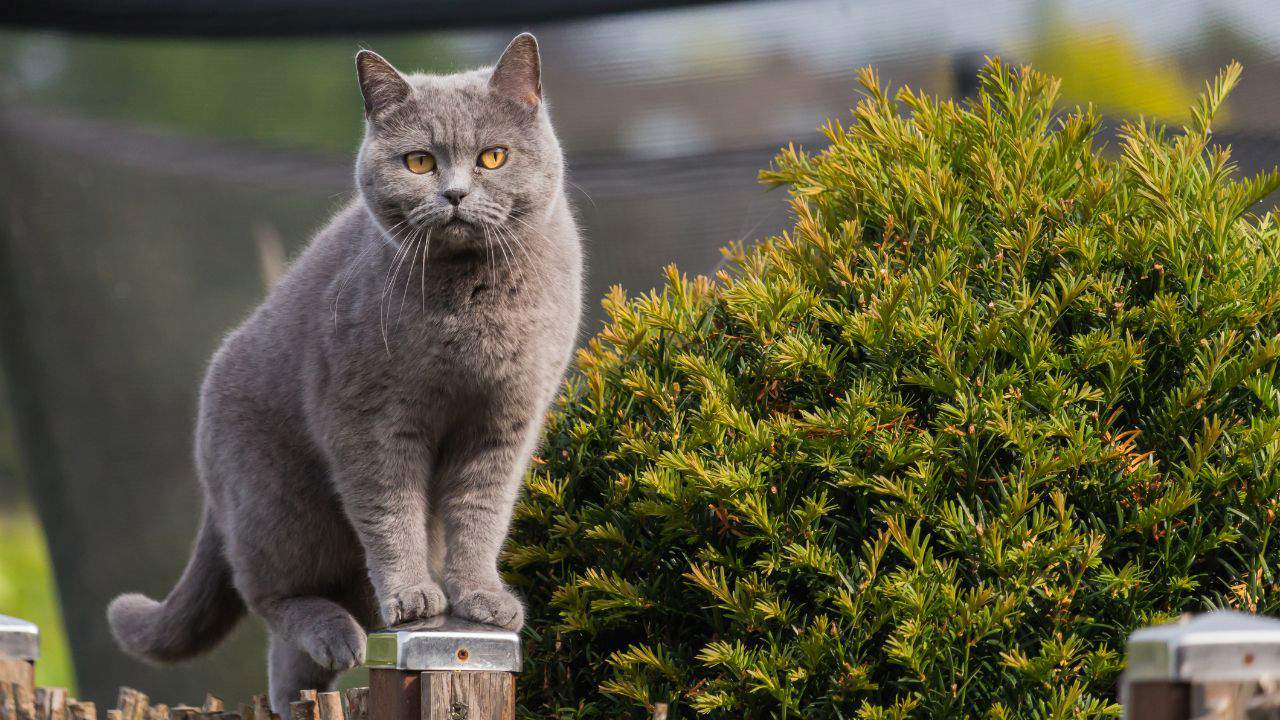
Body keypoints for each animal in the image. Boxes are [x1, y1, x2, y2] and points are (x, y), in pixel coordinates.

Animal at [107, 35, 583, 707]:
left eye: (493, 157)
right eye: (418, 162)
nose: (455, 195)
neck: (470, 301)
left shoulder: (504, 420)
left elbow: (481, 511)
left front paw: (481, 599)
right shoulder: (367, 417)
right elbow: (390, 510)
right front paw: (413, 597)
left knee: (289, 660)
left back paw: (311, 679)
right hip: (280, 501)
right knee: (270, 593)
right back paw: (335, 634)